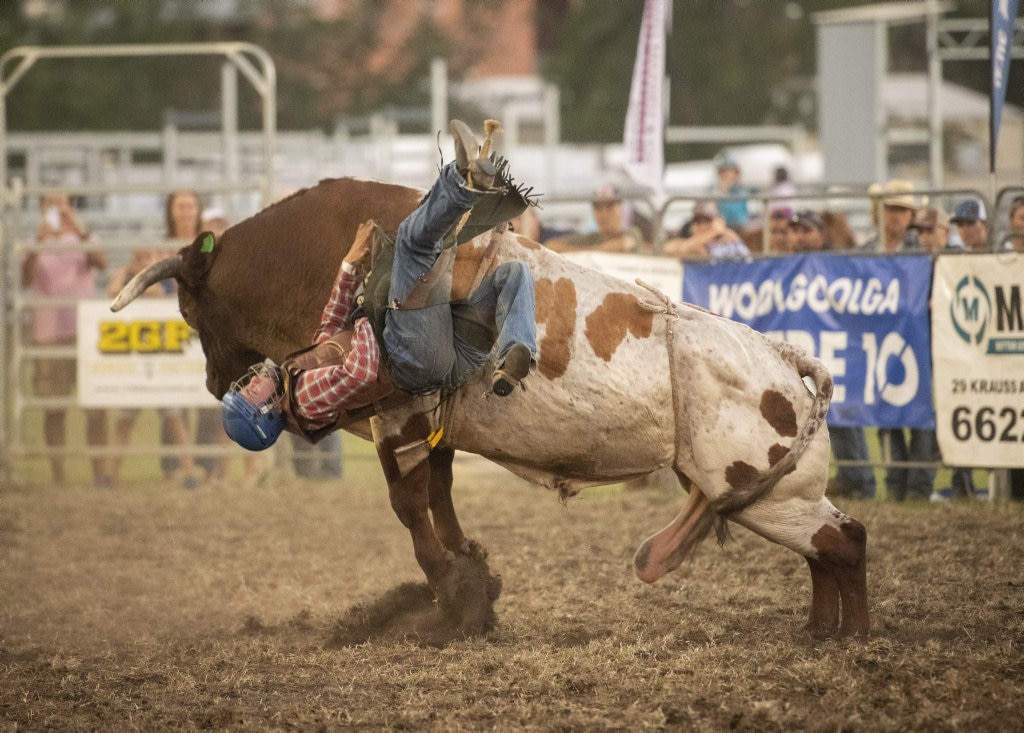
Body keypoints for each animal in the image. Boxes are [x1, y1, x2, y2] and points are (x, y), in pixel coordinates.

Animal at [112, 175, 868, 638]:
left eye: (187, 308)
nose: (216, 383)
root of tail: (789, 363)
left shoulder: (398, 416)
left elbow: (411, 503)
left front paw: (455, 587)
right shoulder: (426, 423)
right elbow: (438, 492)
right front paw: (470, 569)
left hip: (764, 489)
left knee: (844, 541)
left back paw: (847, 634)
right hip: (774, 493)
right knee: (834, 543)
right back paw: (821, 630)